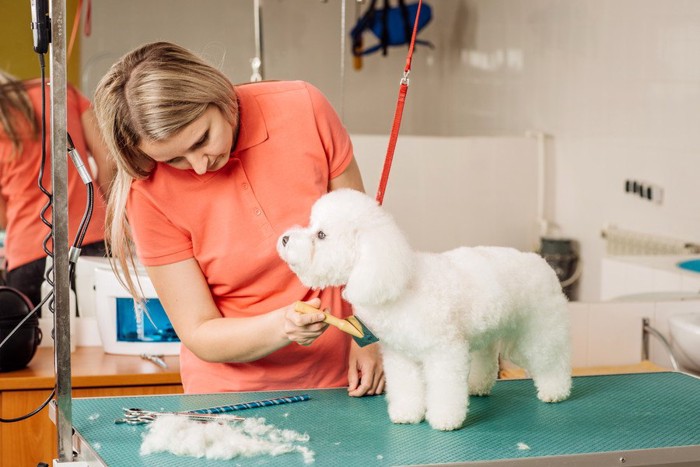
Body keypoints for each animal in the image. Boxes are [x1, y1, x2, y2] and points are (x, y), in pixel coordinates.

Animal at [276, 188, 572, 430]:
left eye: (321, 235)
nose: (285, 239)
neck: (399, 283)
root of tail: (541, 262)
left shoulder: (445, 352)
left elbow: (444, 390)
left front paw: (445, 419)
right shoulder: (402, 356)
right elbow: (407, 387)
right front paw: (407, 413)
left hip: (538, 330)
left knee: (553, 361)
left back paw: (555, 390)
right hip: (486, 334)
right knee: (486, 359)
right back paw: (478, 386)